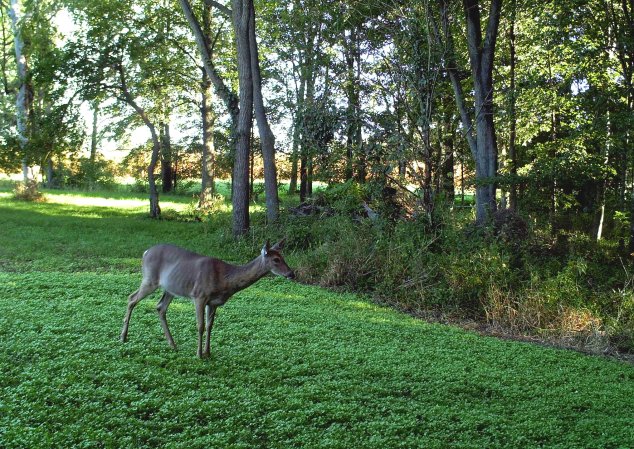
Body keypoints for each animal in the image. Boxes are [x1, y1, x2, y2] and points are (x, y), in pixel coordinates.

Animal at [119, 240, 294, 358]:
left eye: (284, 256)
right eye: (276, 260)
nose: (291, 273)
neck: (224, 279)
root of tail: (145, 252)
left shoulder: (213, 303)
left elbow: (210, 326)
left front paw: (208, 352)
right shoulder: (199, 295)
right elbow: (200, 326)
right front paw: (199, 354)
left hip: (170, 288)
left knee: (160, 307)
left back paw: (173, 344)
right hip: (150, 279)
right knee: (131, 298)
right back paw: (123, 337)